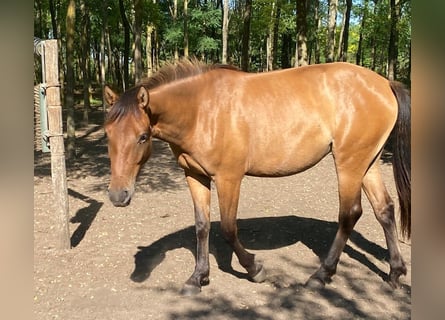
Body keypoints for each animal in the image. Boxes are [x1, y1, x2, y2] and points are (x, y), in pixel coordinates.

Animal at [104, 60, 410, 296]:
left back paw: (320, 275)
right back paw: (395, 272)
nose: (118, 195)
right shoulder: (194, 175)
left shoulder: (228, 178)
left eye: (142, 137)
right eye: (107, 134)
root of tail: (384, 84)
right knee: (384, 209)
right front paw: (198, 278)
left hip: (349, 163)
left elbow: (228, 229)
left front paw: (255, 270)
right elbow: (202, 226)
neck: (201, 110)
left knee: (349, 214)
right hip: (367, 163)